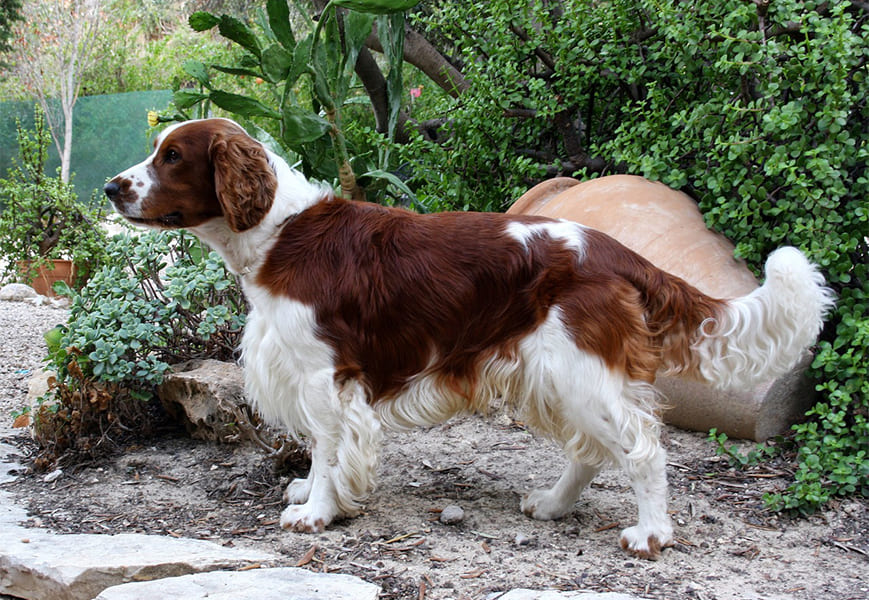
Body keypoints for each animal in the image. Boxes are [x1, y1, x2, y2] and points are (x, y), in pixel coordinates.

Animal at [105, 119, 832, 560]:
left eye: (172, 157)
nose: (112, 186)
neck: (280, 232)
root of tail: (616, 251)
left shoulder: (322, 375)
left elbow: (328, 448)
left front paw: (315, 511)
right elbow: (322, 449)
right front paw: (316, 492)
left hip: (577, 371)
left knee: (641, 449)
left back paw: (650, 534)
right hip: (554, 375)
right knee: (592, 450)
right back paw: (551, 505)